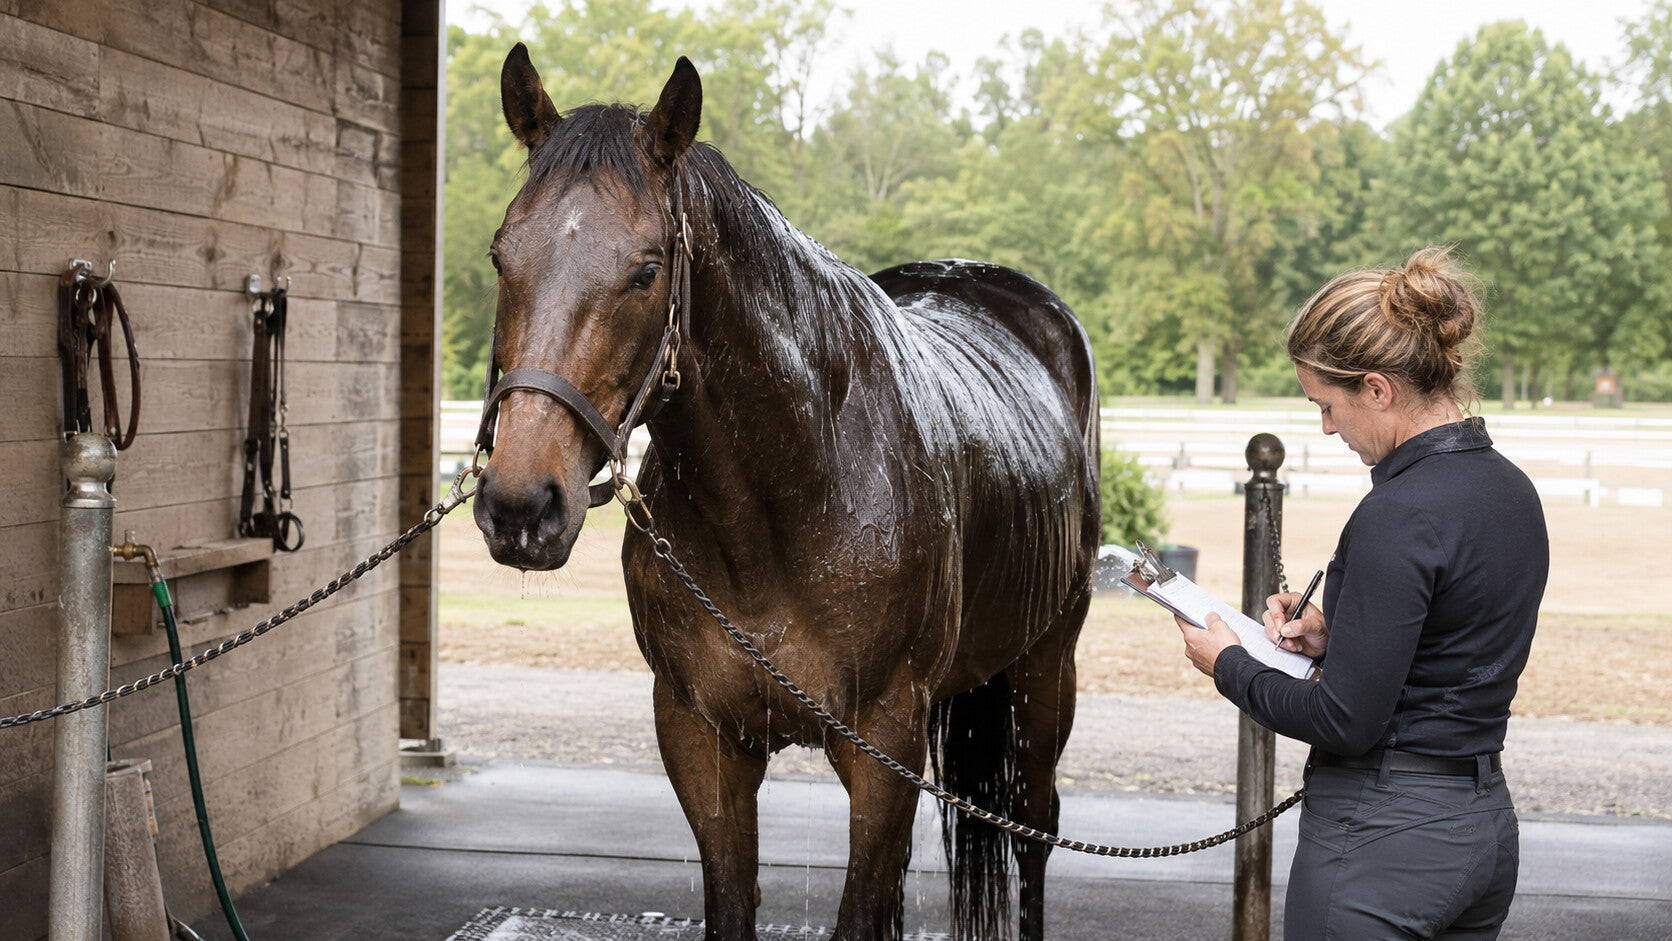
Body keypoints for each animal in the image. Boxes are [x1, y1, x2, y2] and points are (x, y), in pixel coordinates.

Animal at [471, 44, 1101, 941]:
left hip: (1047, 667)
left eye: (645, 270)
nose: (523, 505)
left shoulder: (884, 743)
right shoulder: (702, 737)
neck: (786, 505)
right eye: (501, 254)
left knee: (1034, 830)